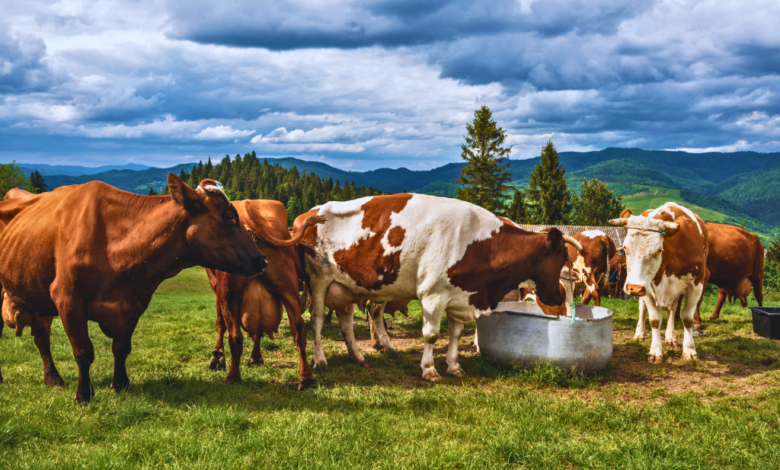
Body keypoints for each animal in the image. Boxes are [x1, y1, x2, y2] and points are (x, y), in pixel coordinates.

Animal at [0, 176, 266, 404]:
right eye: (229, 216)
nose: (262, 259)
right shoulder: (67, 299)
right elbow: (84, 352)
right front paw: (84, 395)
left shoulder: (133, 304)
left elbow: (121, 348)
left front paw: (120, 384)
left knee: (41, 336)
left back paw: (53, 378)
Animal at [204, 200, 322, 392]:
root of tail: (248, 205)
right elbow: (259, 328)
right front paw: (256, 356)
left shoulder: (217, 289)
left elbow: (220, 323)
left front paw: (217, 356)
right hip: (288, 289)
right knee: (299, 329)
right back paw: (305, 378)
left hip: (229, 296)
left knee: (235, 336)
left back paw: (233, 377)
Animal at [292, 193, 580, 380]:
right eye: (559, 261)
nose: (557, 299)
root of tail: (309, 213)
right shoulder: (433, 295)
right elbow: (431, 335)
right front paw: (429, 370)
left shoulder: (461, 296)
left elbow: (455, 334)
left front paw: (454, 366)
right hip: (319, 281)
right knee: (317, 321)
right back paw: (320, 359)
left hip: (346, 287)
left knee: (346, 322)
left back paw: (358, 357)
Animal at [612, 203, 708, 364]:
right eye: (625, 248)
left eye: (658, 250)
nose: (634, 288)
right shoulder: (647, 288)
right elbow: (654, 320)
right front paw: (655, 351)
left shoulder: (696, 285)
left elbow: (687, 319)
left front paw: (689, 351)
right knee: (642, 308)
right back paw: (640, 333)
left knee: (672, 310)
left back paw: (670, 337)